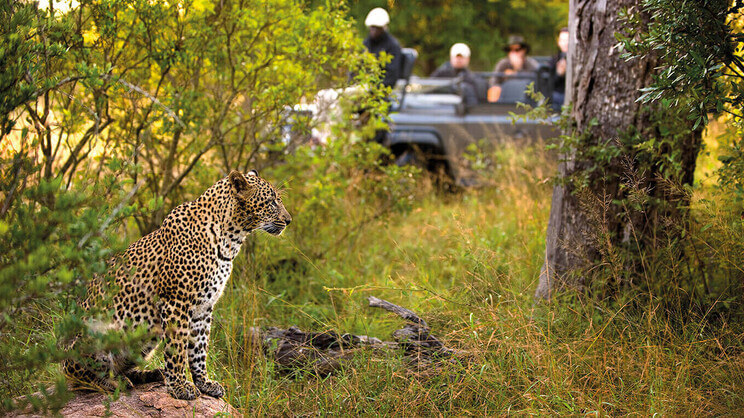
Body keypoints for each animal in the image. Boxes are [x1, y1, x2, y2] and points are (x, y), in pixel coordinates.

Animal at [63, 171, 290, 402]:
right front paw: (180, 387)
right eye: (272, 201)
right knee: (79, 376)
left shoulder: (203, 308)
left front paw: (204, 383)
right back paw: (112, 382)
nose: (288, 220)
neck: (230, 240)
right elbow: (177, 348)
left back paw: (151, 374)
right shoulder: (177, 302)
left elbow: (199, 349)